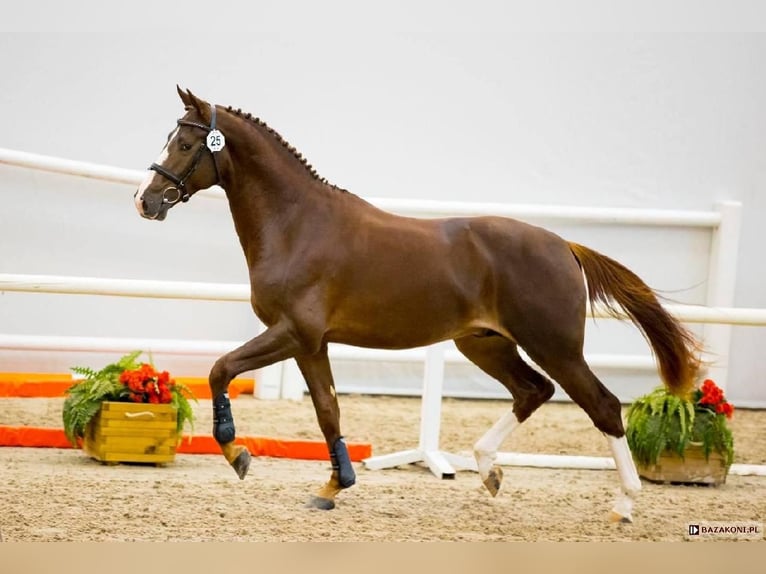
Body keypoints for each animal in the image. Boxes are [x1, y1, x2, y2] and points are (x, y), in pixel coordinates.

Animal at [134, 88, 704, 524]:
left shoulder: (292, 333)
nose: (146, 199)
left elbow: (220, 369)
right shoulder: (310, 343)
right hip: (485, 345)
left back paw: (624, 504)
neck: (297, 224)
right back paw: (488, 470)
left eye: (185, 142)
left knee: (602, 406)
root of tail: (564, 245)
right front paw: (333, 486)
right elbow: (328, 411)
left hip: (556, 347)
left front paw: (238, 454)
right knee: (532, 391)